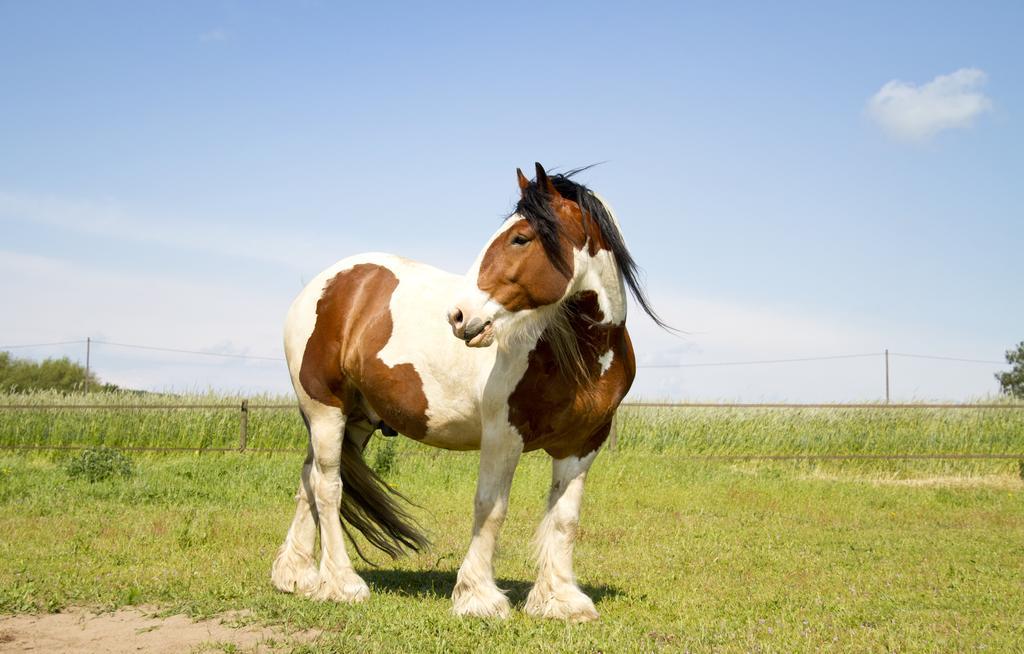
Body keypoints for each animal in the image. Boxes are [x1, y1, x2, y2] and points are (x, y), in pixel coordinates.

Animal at [270, 161, 663, 622]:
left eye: (520, 238)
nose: (459, 316)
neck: (578, 352)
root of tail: (324, 285)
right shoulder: (502, 436)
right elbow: (491, 508)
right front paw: (478, 597)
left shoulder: (582, 444)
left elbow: (565, 519)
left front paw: (561, 599)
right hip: (325, 410)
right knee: (329, 487)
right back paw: (343, 584)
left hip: (355, 419)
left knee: (309, 480)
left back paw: (296, 576)